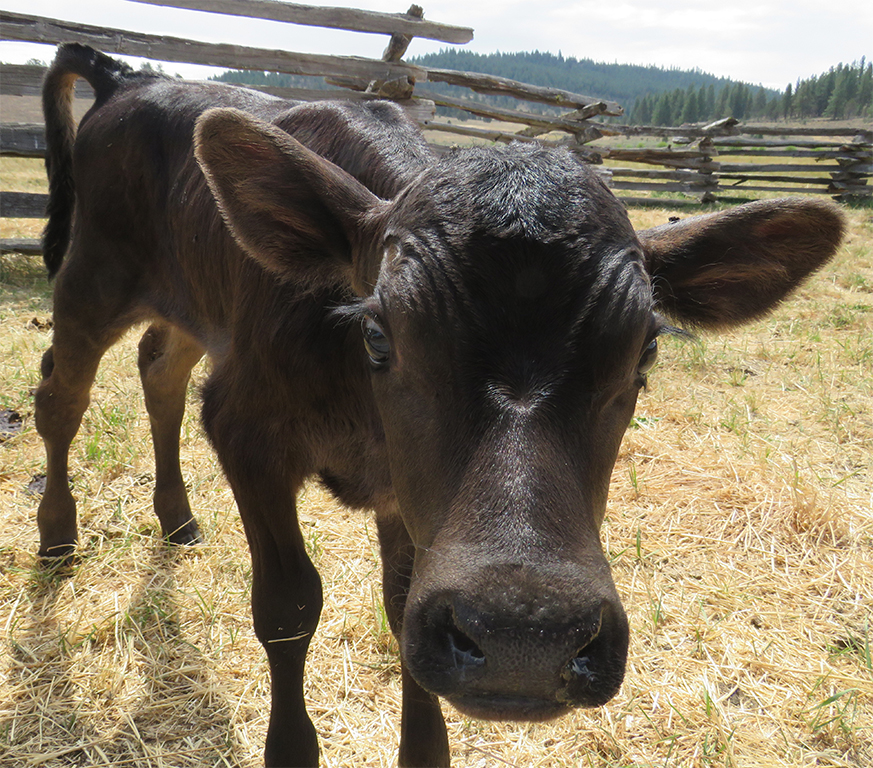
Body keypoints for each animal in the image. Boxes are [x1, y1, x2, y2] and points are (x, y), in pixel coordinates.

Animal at [35, 43, 844, 768]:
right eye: (377, 333)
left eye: (645, 350)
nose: (526, 641)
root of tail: (128, 77)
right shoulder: (246, 430)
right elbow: (289, 606)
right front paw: (291, 748)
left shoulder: (410, 501)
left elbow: (401, 610)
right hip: (92, 277)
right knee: (61, 397)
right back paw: (56, 536)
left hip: (187, 304)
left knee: (159, 371)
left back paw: (176, 517)